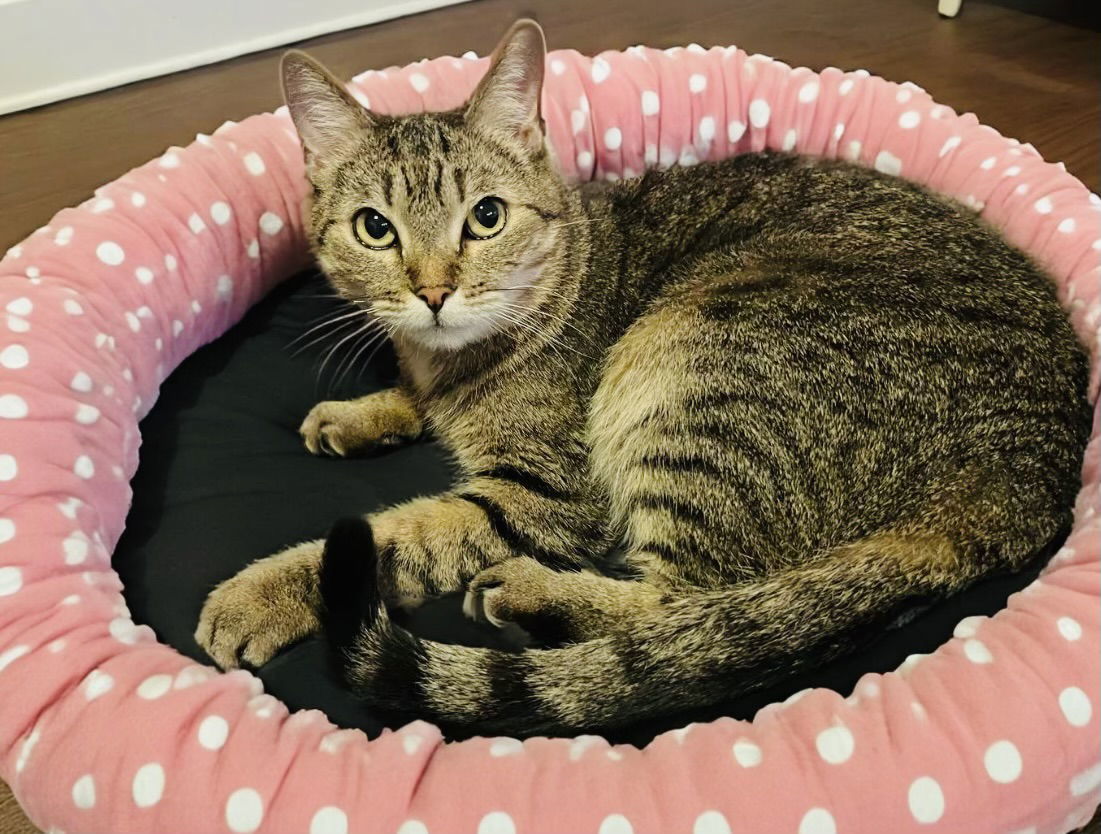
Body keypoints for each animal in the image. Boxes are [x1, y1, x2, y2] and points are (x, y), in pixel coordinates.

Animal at [193, 19, 1087, 735]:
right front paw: (359, 413)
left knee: (680, 614)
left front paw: (261, 593)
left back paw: (536, 594)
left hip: (693, 370)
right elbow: (414, 401)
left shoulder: (546, 496)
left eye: (485, 217)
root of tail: (1031, 466)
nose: (434, 290)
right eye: (374, 229)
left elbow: (399, 536)